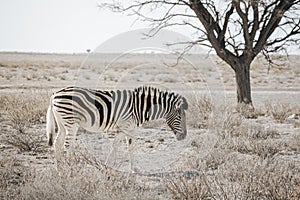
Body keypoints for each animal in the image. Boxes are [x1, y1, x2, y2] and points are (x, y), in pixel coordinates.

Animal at [46, 86, 188, 161]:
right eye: (180, 117)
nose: (184, 137)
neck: (139, 107)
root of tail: (54, 94)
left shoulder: (131, 129)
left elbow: (131, 148)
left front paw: (134, 170)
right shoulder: (124, 127)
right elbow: (115, 145)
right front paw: (108, 166)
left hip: (62, 123)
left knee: (58, 143)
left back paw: (60, 169)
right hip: (71, 122)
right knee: (67, 144)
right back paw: (70, 169)